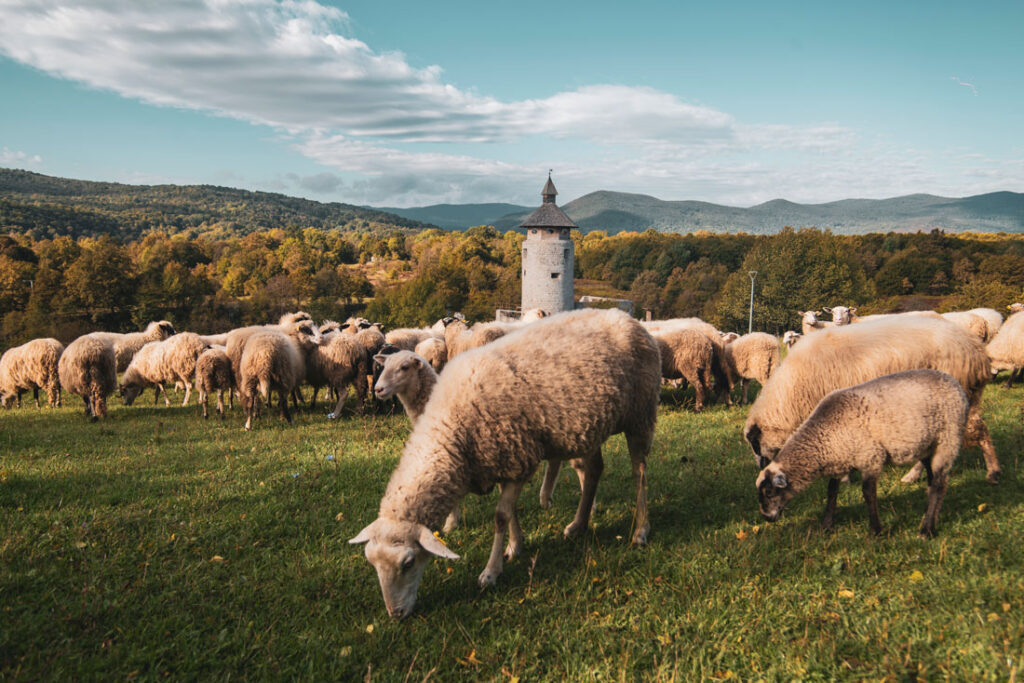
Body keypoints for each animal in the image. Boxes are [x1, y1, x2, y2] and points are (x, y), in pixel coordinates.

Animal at [348, 307, 659, 618]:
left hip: (640, 413)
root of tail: (626, 316)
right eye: (372, 562)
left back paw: (640, 531)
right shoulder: (500, 458)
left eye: (408, 562)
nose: (396, 614)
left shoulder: (517, 458)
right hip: (590, 426)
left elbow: (500, 515)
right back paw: (578, 525)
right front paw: (515, 545)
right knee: (594, 470)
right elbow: (509, 512)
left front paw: (491, 571)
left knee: (640, 473)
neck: (451, 424)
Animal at [745, 315, 999, 485]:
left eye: (755, 443)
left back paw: (992, 472)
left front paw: (844, 478)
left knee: (979, 430)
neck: (792, 395)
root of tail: (975, 348)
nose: (760, 467)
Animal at [761, 368, 966, 540]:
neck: (824, 434)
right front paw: (826, 524)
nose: (767, 518)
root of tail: (954, 383)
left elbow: (868, 493)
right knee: (935, 483)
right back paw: (930, 518)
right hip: (928, 446)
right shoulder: (840, 458)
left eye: (770, 492)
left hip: (947, 440)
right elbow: (831, 490)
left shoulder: (870, 458)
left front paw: (875, 530)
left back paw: (926, 530)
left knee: (939, 484)